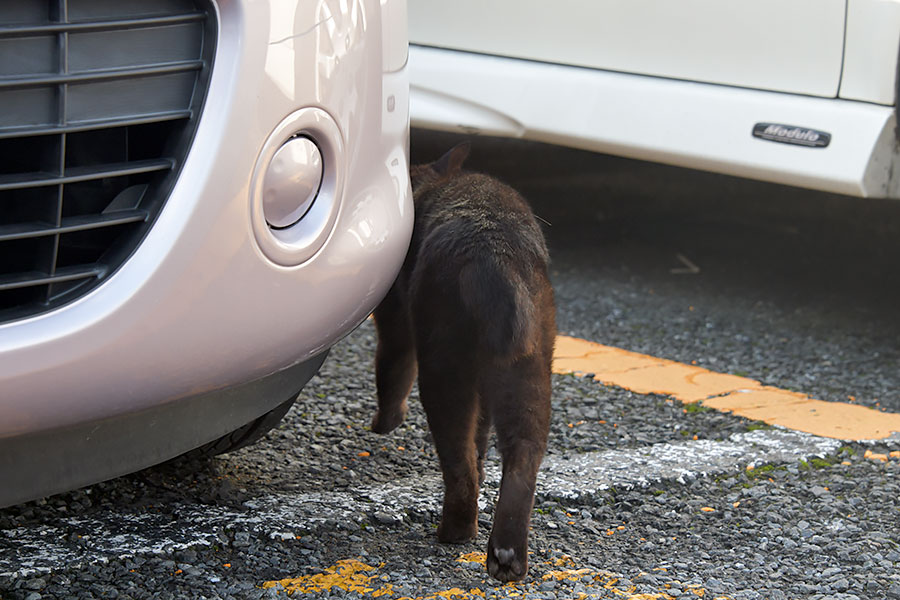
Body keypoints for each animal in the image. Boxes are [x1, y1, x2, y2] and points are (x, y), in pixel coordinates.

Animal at [368, 143, 552, 584]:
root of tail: (498, 256)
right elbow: (481, 434)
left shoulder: (395, 320)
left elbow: (391, 371)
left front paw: (384, 425)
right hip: (528, 369)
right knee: (521, 454)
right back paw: (507, 557)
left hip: (442, 363)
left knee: (458, 459)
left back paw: (456, 531)